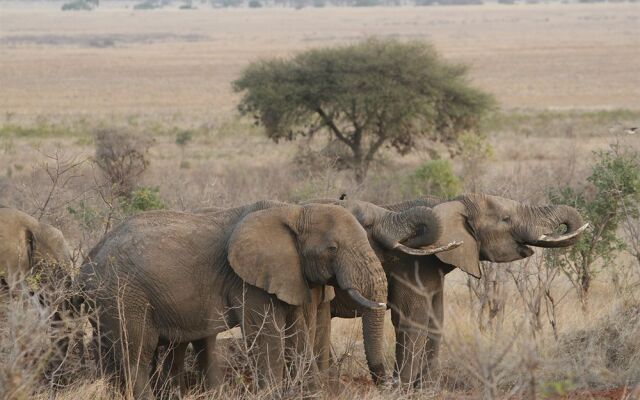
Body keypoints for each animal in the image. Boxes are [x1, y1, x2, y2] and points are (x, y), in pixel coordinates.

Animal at [77, 198, 410, 398]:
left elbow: (303, 331)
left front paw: (311, 391)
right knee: (136, 352)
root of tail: (88, 261)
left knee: (114, 354)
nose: (389, 383)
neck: (295, 211)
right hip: (125, 296)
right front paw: (275, 393)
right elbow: (266, 334)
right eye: (332, 248)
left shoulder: (294, 274)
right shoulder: (250, 282)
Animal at [328, 194, 588, 388]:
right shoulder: (410, 264)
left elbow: (436, 320)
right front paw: (403, 390)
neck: (452, 203)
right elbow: (411, 320)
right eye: (506, 219)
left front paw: (426, 389)